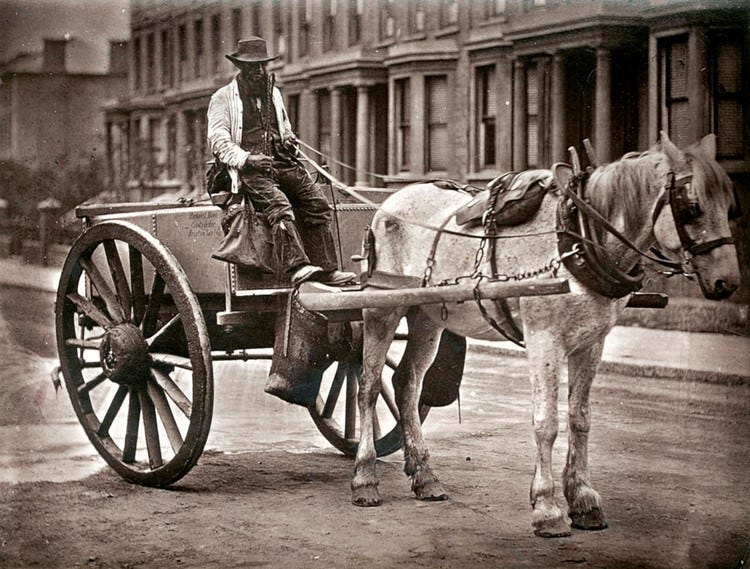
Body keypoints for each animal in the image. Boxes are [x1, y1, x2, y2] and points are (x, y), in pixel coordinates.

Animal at [352, 132, 740, 536]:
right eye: (692, 206)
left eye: (730, 207)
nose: (727, 283)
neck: (579, 237)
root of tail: (386, 206)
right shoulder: (544, 338)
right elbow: (546, 423)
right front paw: (547, 507)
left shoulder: (592, 342)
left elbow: (580, 419)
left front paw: (583, 498)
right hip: (381, 308)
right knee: (367, 387)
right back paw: (365, 477)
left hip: (426, 314)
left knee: (407, 384)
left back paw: (425, 475)